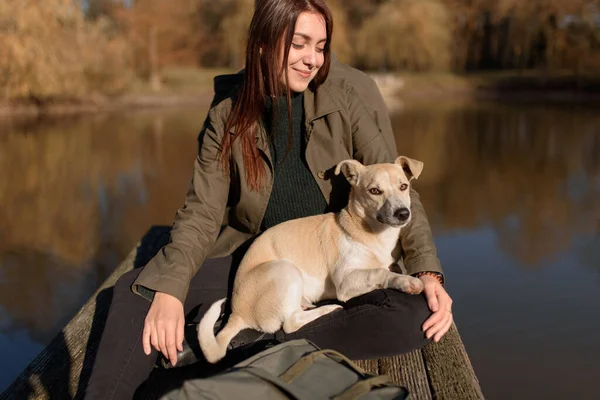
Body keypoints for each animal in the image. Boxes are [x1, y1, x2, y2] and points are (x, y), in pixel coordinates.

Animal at [199, 155, 424, 362]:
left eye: (404, 186)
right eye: (375, 191)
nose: (403, 213)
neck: (373, 232)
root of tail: (237, 313)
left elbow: (384, 268)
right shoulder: (345, 281)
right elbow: (379, 272)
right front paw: (408, 282)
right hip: (286, 270)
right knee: (290, 324)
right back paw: (328, 309)